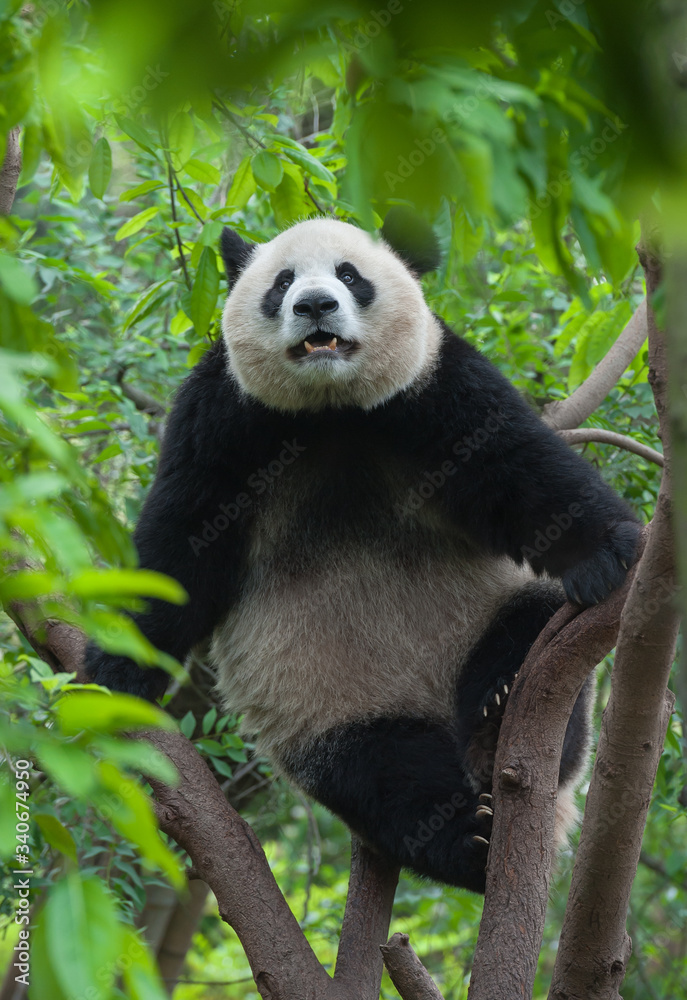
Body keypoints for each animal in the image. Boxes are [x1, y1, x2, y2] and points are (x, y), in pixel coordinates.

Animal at [86, 213, 640, 893]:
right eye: (282, 282)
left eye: (350, 276)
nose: (315, 305)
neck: (332, 409)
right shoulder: (222, 417)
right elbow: (182, 544)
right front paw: (117, 669)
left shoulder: (432, 387)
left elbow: (515, 467)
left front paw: (607, 553)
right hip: (326, 706)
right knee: (384, 776)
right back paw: (470, 840)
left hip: (501, 616)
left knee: (533, 640)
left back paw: (499, 707)